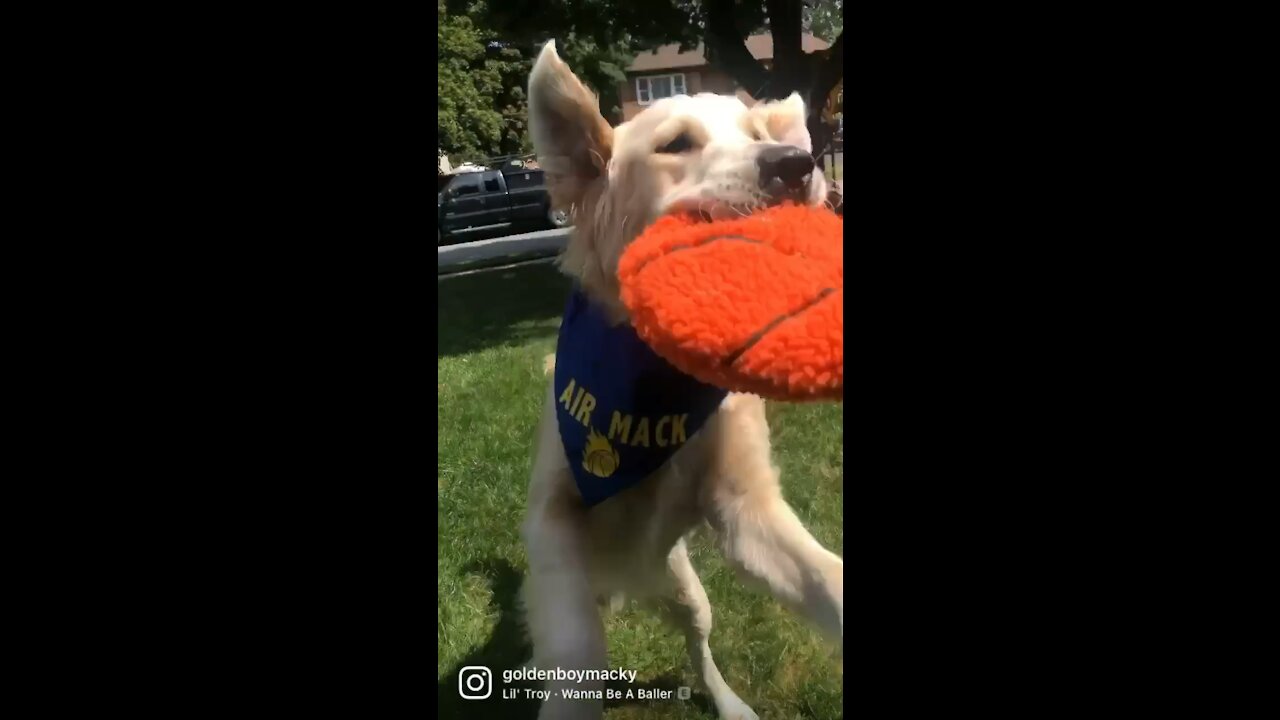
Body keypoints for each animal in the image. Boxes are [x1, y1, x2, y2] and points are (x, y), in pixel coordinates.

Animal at [514, 40, 844, 717]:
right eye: (676, 144)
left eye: (755, 135)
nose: (797, 165)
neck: (656, 373)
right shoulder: (550, 519)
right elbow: (576, 648)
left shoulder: (747, 513)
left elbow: (829, 579)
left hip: (689, 592)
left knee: (699, 645)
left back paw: (729, 701)